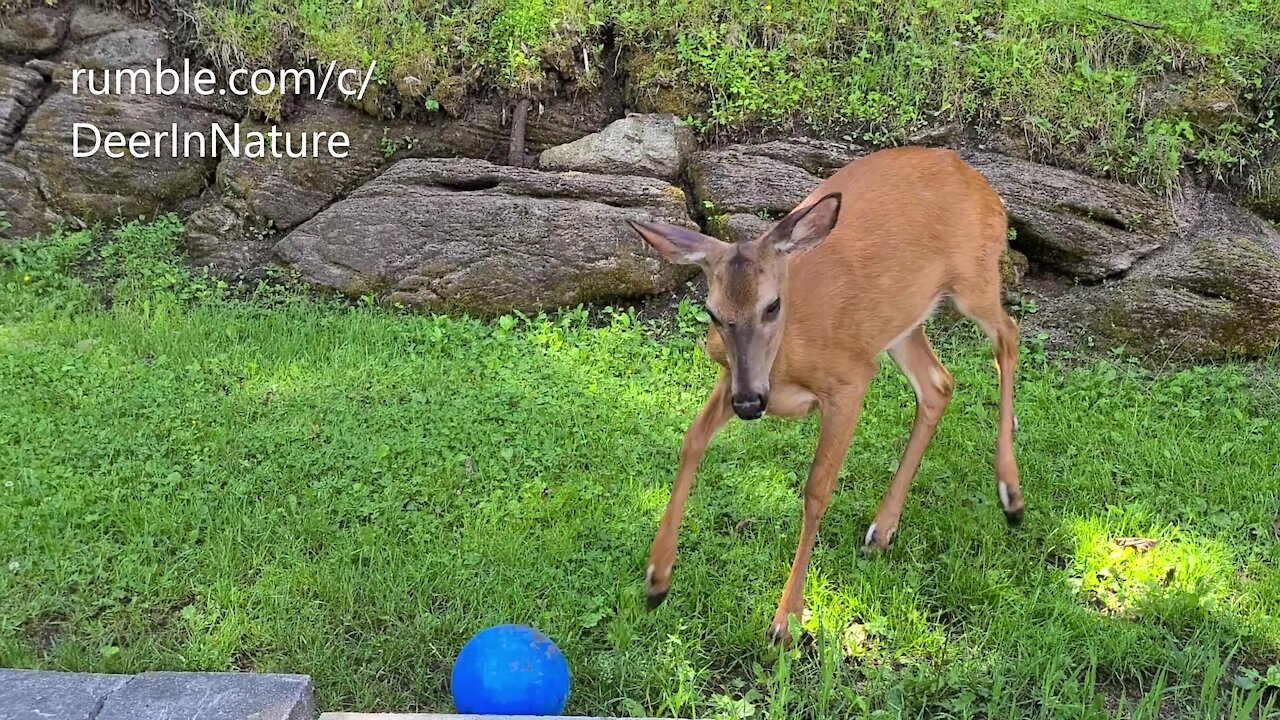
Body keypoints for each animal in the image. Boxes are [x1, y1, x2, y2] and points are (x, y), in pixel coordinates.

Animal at [624, 144, 1024, 645]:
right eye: (713, 313)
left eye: (772, 305)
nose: (750, 405)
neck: (786, 362)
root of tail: (979, 182)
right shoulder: (732, 378)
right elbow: (692, 438)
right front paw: (657, 577)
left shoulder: (849, 380)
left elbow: (817, 488)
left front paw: (785, 620)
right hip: (898, 321)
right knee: (938, 383)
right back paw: (881, 531)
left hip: (973, 277)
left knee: (1008, 335)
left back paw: (1011, 494)